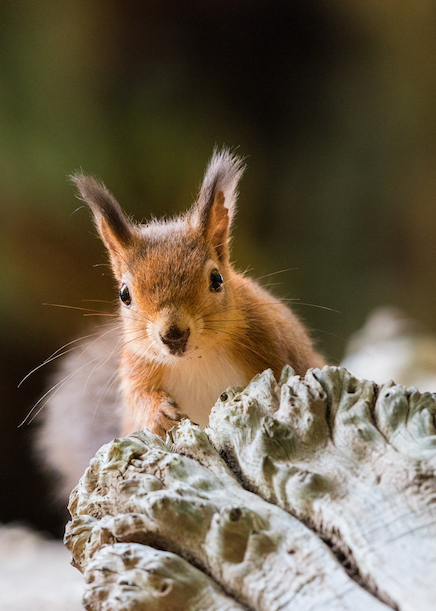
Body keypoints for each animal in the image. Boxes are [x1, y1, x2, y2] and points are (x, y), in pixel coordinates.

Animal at [36, 148, 324, 498]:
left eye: (217, 279)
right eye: (124, 294)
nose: (173, 335)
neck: (195, 360)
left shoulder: (276, 343)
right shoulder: (137, 367)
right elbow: (137, 399)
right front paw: (159, 414)